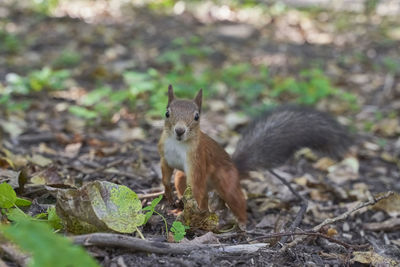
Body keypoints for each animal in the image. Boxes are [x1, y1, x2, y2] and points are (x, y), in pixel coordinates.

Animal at [158, 85, 352, 228]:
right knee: (183, 184)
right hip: (182, 177)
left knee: (232, 200)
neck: (178, 144)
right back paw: (181, 206)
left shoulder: (197, 160)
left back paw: (240, 223)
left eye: (197, 116)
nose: (180, 130)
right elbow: (166, 174)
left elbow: (196, 187)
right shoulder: (164, 155)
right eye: (167, 113)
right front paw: (168, 195)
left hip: (226, 181)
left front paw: (193, 213)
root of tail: (235, 168)